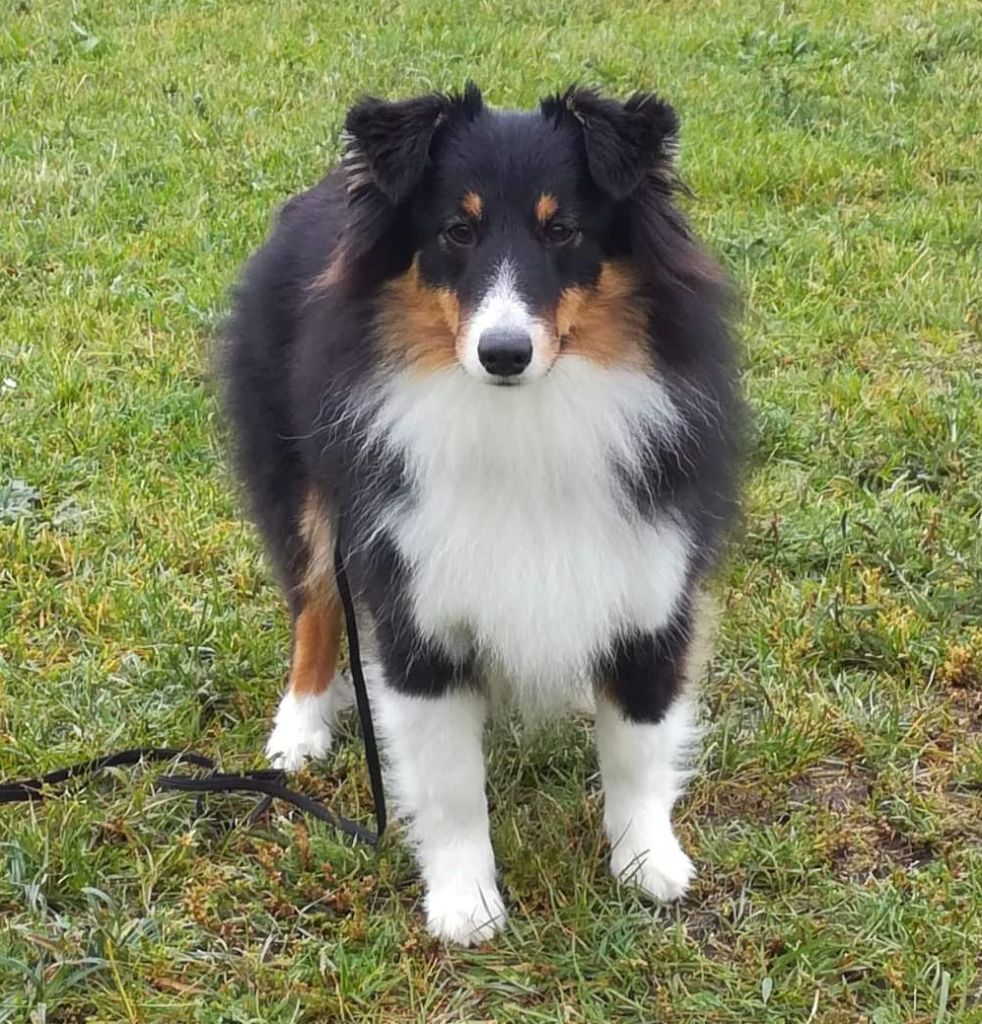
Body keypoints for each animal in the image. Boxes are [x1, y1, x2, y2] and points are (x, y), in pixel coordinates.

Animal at [220, 84, 742, 945]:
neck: (526, 419)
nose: (503, 354)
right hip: (303, 487)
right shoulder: (418, 609)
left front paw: (646, 864)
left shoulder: (652, 582)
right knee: (315, 606)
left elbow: (638, 745)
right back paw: (299, 728)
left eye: (561, 229)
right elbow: (452, 783)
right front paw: (466, 903)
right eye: (456, 231)